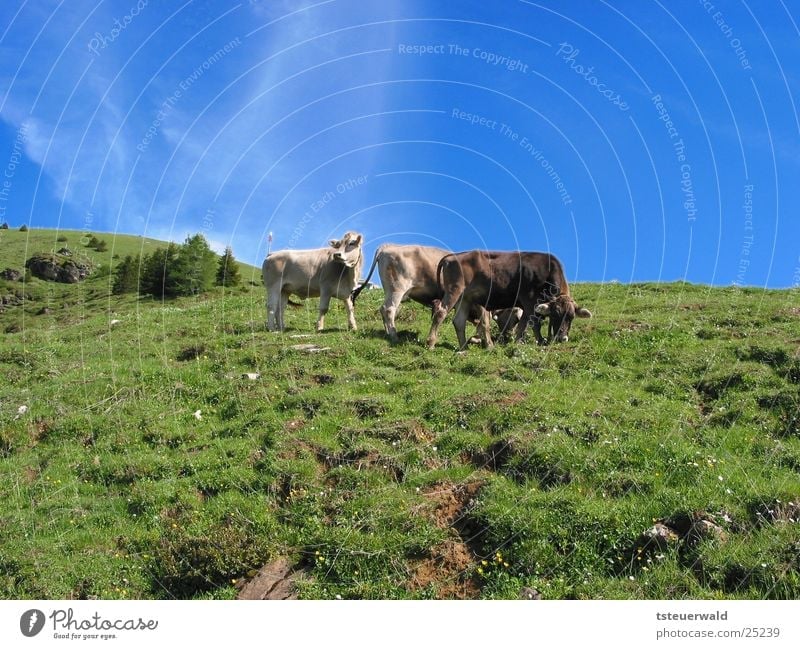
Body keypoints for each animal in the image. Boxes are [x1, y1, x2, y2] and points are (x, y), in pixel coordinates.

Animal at [428, 251, 592, 350]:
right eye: (556, 315)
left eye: (571, 317)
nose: (562, 338)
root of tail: (452, 256)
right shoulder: (528, 302)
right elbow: (525, 324)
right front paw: (518, 343)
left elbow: (536, 325)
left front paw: (540, 341)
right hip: (454, 291)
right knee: (440, 313)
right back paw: (430, 343)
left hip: (465, 298)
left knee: (459, 321)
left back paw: (464, 348)